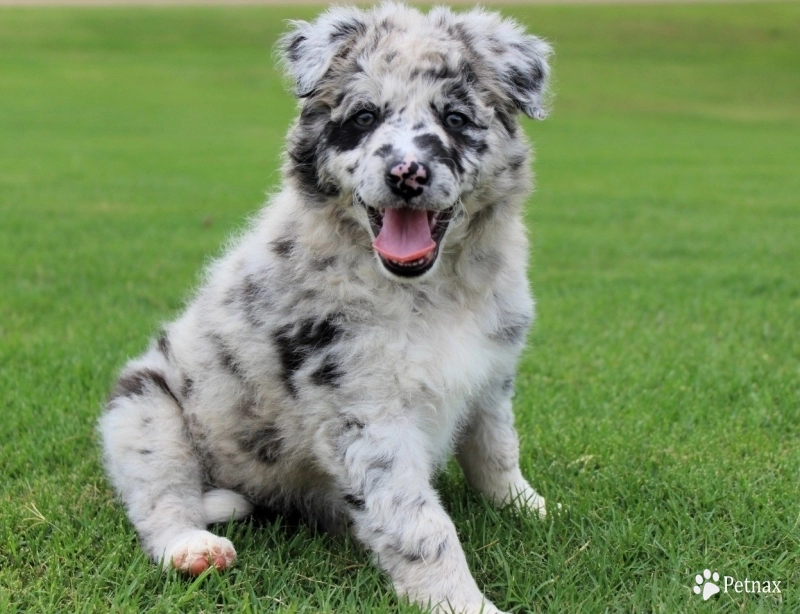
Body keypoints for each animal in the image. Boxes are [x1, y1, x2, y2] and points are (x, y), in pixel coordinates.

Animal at [98, 2, 552, 612]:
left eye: (456, 118)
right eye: (363, 117)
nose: (407, 174)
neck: (433, 292)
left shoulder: (490, 372)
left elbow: (496, 448)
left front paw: (528, 506)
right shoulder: (362, 407)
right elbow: (420, 525)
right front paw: (463, 602)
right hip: (144, 410)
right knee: (160, 498)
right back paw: (194, 547)